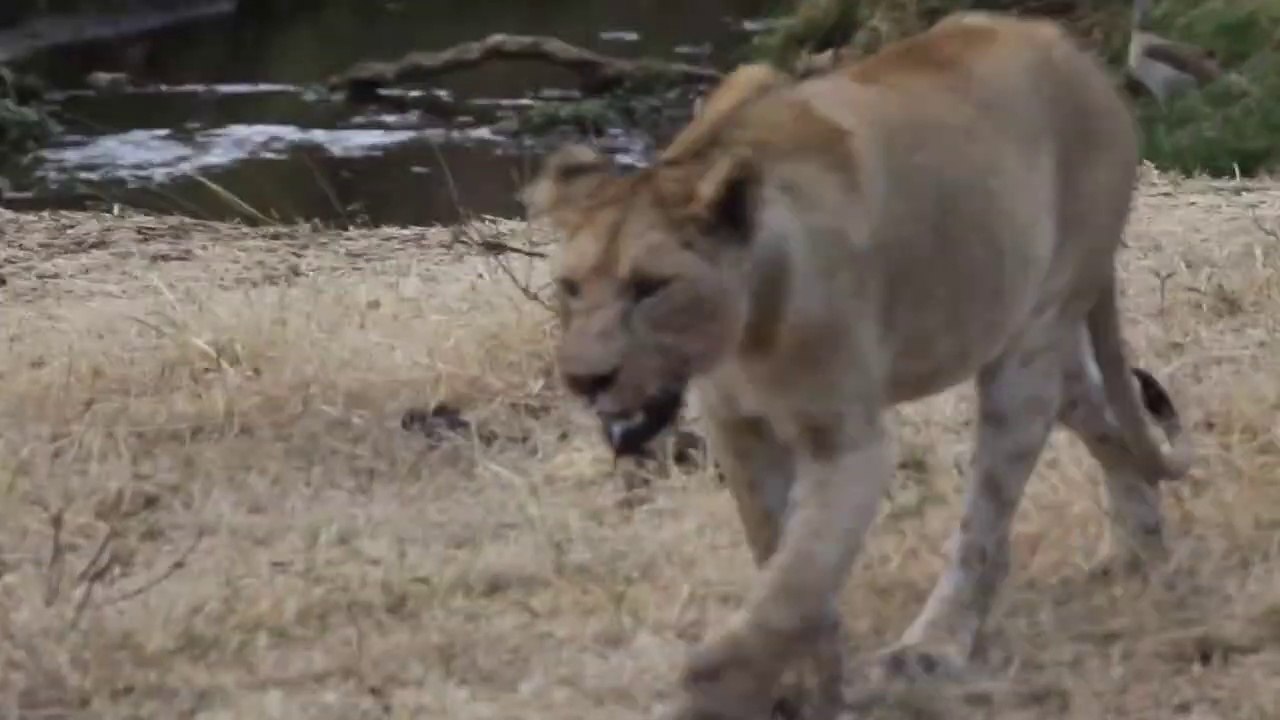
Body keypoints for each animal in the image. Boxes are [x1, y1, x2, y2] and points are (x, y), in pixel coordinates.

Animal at [521, 11, 1193, 720]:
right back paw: (1142, 549)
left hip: (1027, 351)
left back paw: (932, 647)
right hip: (1033, 341)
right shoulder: (738, 428)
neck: (748, 332)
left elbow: (798, 574)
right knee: (1103, 415)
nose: (583, 379)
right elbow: (778, 553)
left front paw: (720, 685)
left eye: (651, 287)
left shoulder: (848, 441)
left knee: (985, 525)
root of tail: (1069, 48)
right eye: (571, 288)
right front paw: (807, 676)